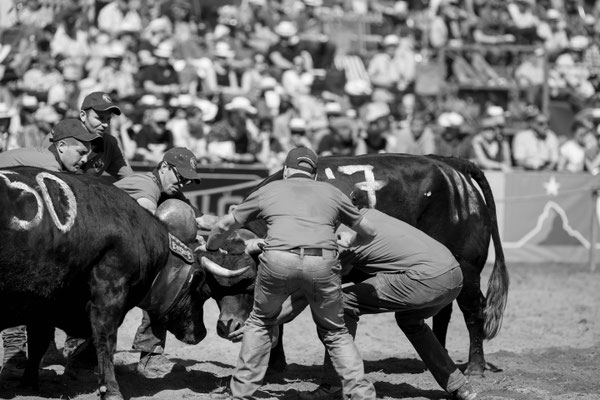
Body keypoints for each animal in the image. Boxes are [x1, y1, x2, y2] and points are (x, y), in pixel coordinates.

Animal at [0, 168, 244, 400]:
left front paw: (30, 383)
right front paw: (110, 389)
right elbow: (105, 341)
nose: (202, 333)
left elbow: (39, 342)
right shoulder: (109, 296)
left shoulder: (43, 304)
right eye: (202, 293)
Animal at [209, 153, 508, 376]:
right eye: (213, 290)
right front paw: (275, 365)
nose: (226, 326)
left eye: (248, 284)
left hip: (467, 267)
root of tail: (452, 166)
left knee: (473, 310)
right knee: (444, 311)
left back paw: (476, 367)